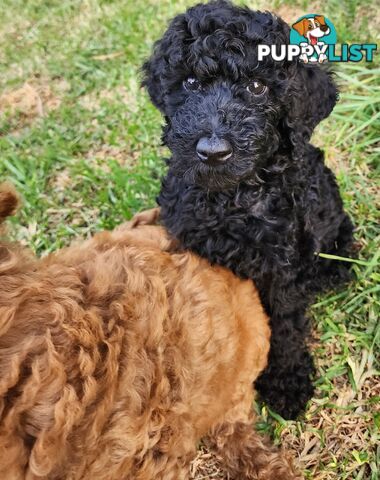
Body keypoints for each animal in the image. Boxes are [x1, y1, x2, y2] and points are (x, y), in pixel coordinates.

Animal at [142, 0, 354, 418]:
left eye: (257, 87)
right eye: (190, 84)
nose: (212, 151)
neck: (231, 199)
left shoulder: (283, 264)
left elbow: (286, 323)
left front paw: (287, 382)